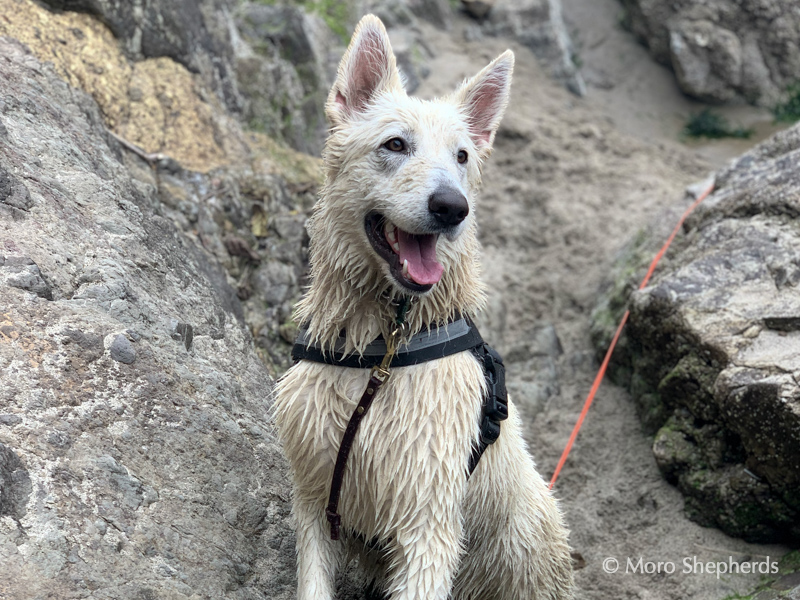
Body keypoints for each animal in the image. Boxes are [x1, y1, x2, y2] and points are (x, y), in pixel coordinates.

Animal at [276, 15, 576, 600]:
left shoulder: (427, 515)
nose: (452, 208)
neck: (382, 349)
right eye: (395, 144)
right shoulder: (316, 494)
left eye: (462, 156)